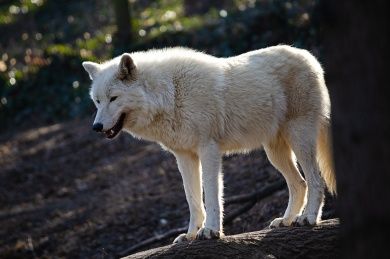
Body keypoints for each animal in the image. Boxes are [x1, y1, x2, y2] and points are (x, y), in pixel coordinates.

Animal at [81, 46, 336, 244]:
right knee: (299, 183)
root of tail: (311, 57)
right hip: (274, 152)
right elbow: (192, 199)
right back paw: (286, 220)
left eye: (113, 98)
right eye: (97, 101)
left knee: (315, 180)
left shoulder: (209, 150)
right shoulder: (184, 156)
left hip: (299, 138)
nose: (96, 127)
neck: (171, 94)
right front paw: (190, 235)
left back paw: (308, 218)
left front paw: (211, 231)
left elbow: (212, 195)